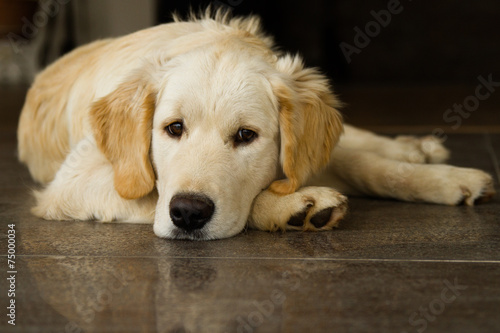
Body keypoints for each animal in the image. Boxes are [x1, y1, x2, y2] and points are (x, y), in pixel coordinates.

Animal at [16, 10, 496, 239]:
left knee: (354, 145)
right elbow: (153, 192)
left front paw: (447, 179)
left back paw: (417, 148)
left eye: (246, 136)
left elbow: (367, 167)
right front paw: (293, 206)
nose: (188, 214)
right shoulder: (70, 184)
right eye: (173, 128)